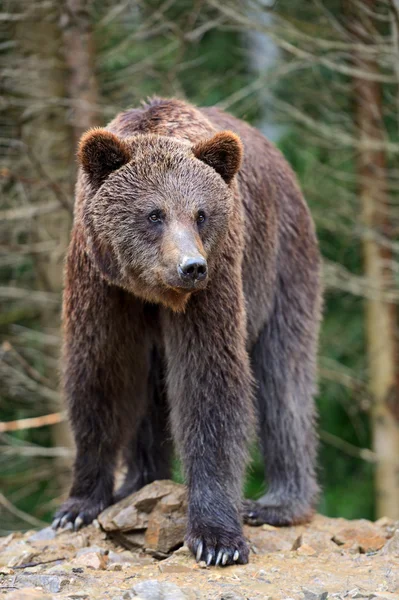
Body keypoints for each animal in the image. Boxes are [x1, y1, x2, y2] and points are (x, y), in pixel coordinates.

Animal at [52, 95, 322, 568]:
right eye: (153, 214)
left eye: (201, 214)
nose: (191, 267)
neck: (149, 290)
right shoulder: (100, 285)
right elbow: (100, 377)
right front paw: (79, 505)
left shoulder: (218, 281)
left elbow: (209, 384)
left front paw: (217, 540)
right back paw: (138, 483)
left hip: (283, 262)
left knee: (284, 378)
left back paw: (277, 504)